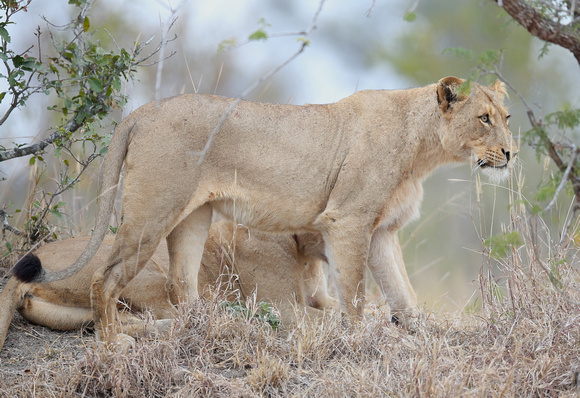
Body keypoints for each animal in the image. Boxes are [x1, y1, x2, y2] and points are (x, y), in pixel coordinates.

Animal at [0, 219, 338, 352]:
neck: (306, 254)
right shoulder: (284, 308)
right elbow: (338, 318)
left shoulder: (320, 297)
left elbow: (341, 309)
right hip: (149, 269)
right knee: (182, 314)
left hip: (75, 312)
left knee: (124, 321)